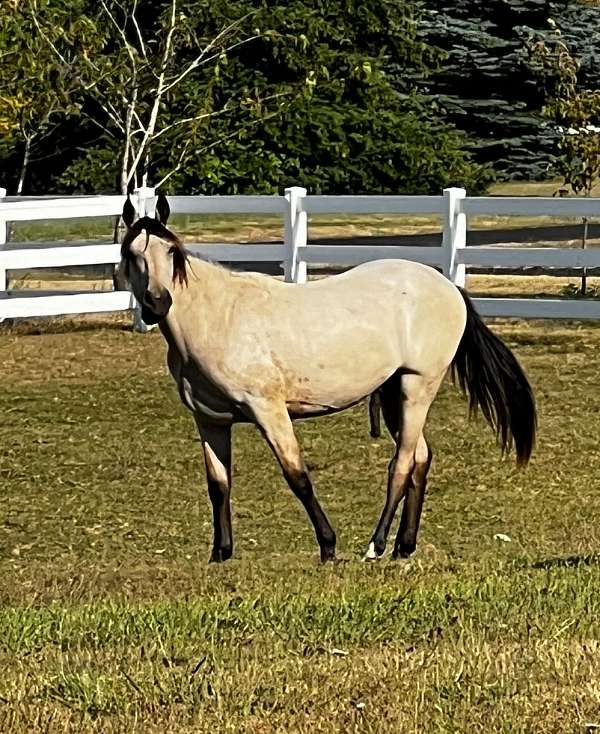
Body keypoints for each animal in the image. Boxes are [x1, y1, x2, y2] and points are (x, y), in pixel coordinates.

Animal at [119, 194, 536, 564]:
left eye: (171, 253)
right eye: (132, 254)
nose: (157, 304)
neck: (219, 317)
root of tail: (449, 287)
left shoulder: (269, 411)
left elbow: (297, 477)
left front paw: (328, 545)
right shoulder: (210, 420)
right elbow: (219, 485)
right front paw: (220, 553)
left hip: (418, 387)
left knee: (401, 465)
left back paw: (376, 546)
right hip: (393, 394)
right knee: (420, 458)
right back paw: (404, 546)